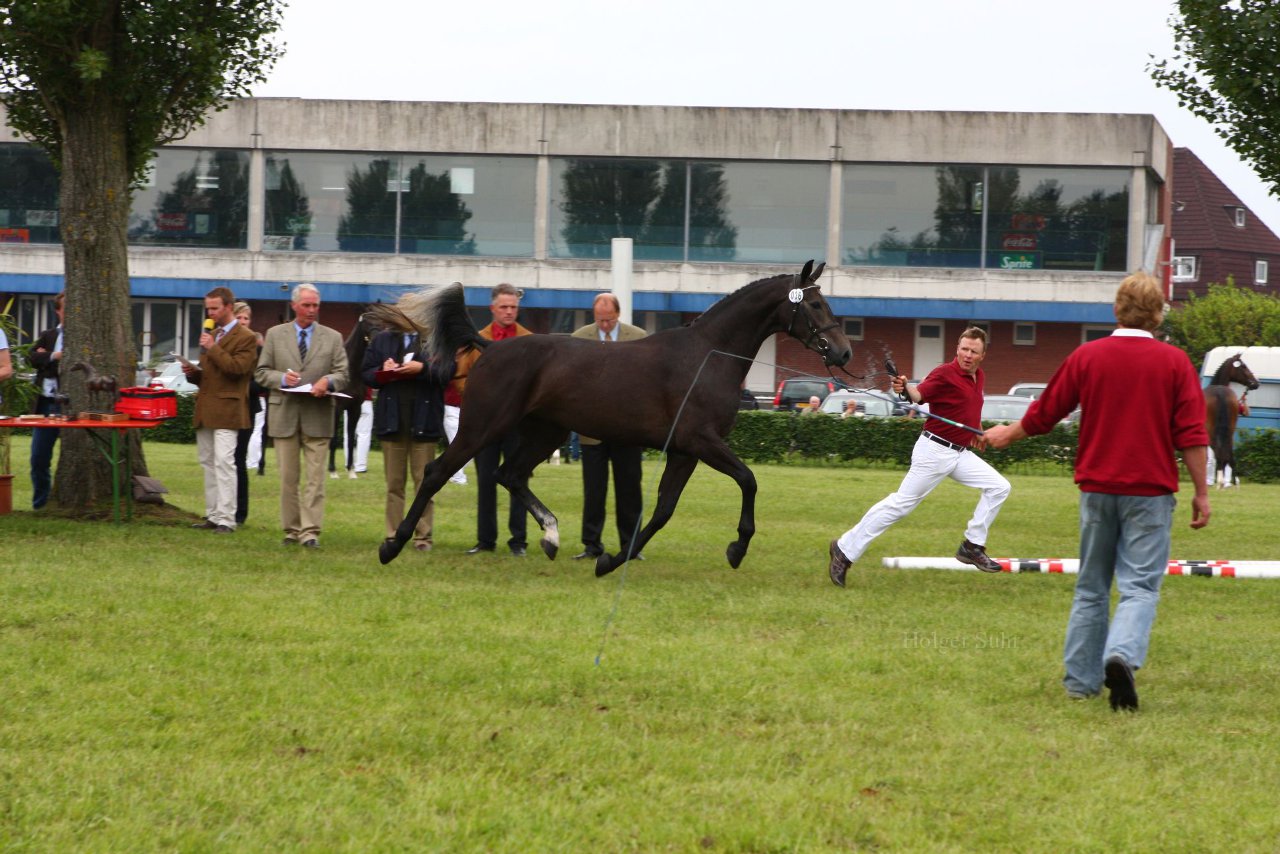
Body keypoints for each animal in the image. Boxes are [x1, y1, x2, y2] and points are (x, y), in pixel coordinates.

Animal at [373, 262, 855, 573]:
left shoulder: (685, 452)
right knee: (438, 472)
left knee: (510, 475)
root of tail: (490, 345)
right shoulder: (701, 442)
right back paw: (393, 544)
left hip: (546, 432)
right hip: (483, 426)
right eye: (815, 305)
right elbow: (748, 480)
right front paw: (737, 547)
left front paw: (610, 559)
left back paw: (550, 536)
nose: (844, 351)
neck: (708, 356)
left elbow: (661, 510)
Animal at [1198, 353, 1259, 486]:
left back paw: (1221, 481)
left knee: (1218, 451)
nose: (1256, 383)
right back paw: (1234, 482)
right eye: (1244, 366)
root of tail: (1219, 393)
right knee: (1228, 452)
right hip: (1230, 429)